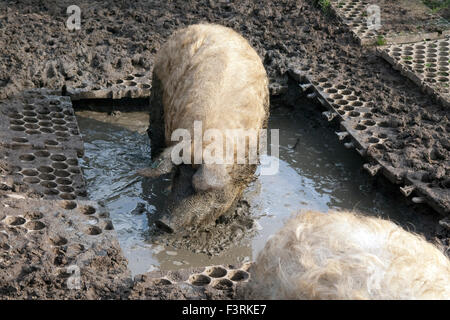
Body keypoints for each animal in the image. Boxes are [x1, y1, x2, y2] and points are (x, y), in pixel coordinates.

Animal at [139, 22, 268, 232]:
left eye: (200, 189)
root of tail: (210, 26)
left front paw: (228, 218)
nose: (164, 223)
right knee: (154, 132)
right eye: (178, 174)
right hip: (157, 84)